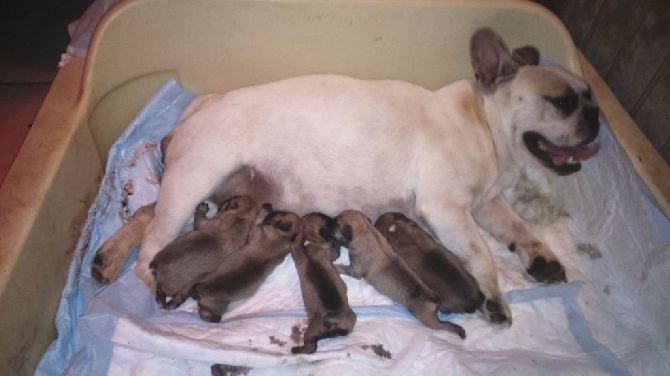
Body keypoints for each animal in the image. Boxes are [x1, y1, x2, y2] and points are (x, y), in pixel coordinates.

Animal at [171, 206, 302, 324]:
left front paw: (265, 208)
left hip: (199, 283)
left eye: (281, 213)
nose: (274, 209)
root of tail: (203, 289)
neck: (282, 238)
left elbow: (258, 219)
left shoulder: (256, 230)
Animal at [292, 213, 360, 354]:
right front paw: (335, 242)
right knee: (311, 347)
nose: (334, 219)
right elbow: (335, 251)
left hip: (312, 331)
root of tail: (332, 322)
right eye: (327, 221)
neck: (307, 237)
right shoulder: (332, 253)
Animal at [336, 210, 468, 340]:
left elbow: (343, 268)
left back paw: (459, 331)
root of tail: (433, 299)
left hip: (429, 320)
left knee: (444, 326)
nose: (332, 219)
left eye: (337, 223)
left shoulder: (355, 270)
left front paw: (336, 266)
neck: (365, 230)